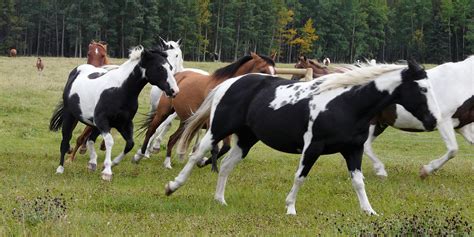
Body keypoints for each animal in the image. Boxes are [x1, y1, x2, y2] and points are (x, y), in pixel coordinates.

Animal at [49, 45, 180, 181]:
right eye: (160, 67)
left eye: (170, 67)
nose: (174, 91)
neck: (119, 90)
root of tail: (76, 71)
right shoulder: (103, 121)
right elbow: (109, 141)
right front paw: (107, 172)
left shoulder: (123, 123)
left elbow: (130, 144)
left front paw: (112, 163)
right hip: (71, 117)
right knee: (66, 140)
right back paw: (60, 169)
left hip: (94, 125)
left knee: (90, 139)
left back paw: (92, 163)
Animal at [130, 52, 278, 169]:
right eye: (263, 70)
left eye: (274, 71)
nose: (272, 89)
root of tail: (178, 75)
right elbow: (215, 147)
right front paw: (203, 161)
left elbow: (225, 148)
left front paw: (202, 161)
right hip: (163, 112)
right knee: (151, 130)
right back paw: (139, 156)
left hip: (186, 121)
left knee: (172, 138)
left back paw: (167, 163)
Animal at [168, 60, 440, 216]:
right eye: (423, 88)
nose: (433, 121)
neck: (345, 103)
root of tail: (231, 83)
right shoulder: (313, 147)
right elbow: (300, 177)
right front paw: (290, 208)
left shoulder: (353, 150)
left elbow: (359, 182)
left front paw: (369, 211)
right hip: (218, 129)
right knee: (196, 155)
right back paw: (172, 186)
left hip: (246, 140)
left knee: (225, 166)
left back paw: (220, 200)